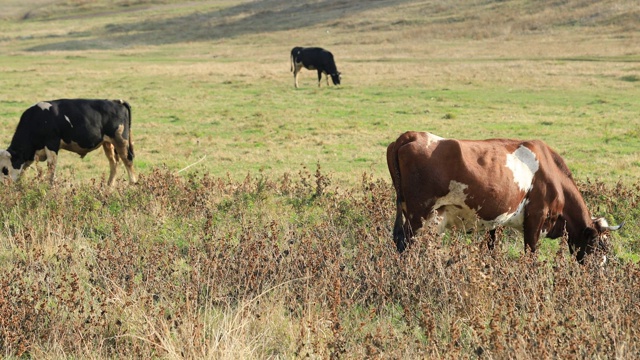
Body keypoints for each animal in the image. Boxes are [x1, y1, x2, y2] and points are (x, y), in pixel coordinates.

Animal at [0, 100, 136, 187]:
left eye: (5, 169)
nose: (2, 186)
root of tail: (116, 102)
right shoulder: (31, 154)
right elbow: (24, 170)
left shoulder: (52, 143)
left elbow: (51, 168)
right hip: (108, 143)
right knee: (114, 162)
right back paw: (108, 187)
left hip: (121, 140)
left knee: (128, 160)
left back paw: (132, 185)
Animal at [388, 131, 624, 262]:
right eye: (599, 245)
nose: (601, 272)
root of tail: (411, 135)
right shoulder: (535, 218)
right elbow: (530, 254)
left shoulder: (495, 220)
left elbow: (492, 248)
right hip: (419, 215)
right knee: (407, 245)